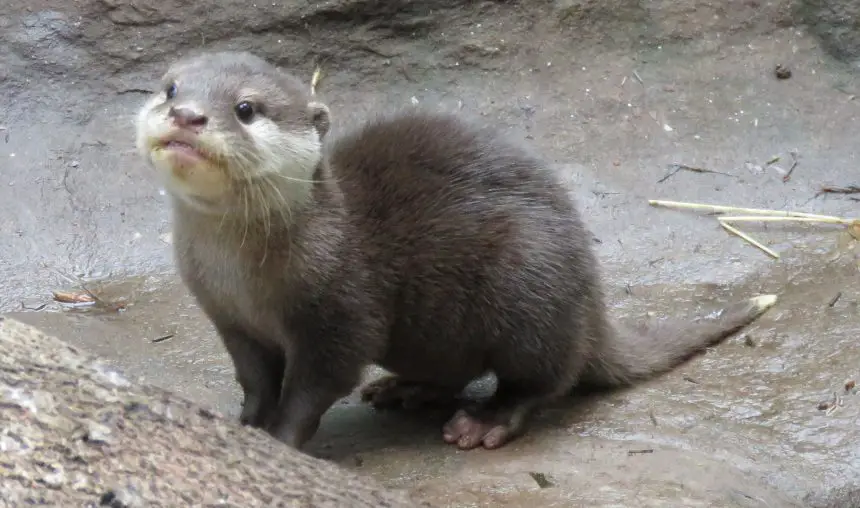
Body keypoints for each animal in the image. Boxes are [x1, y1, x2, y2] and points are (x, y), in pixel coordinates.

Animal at [135, 51, 777, 451]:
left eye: (246, 109)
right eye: (170, 89)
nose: (187, 115)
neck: (242, 276)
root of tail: (591, 303)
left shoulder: (340, 314)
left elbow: (311, 389)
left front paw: (281, 438)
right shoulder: (230, 320)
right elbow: (255, 381)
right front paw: (240, 423)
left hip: (529, 280)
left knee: (546, 379)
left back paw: (485, 422)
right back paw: (405, 390)